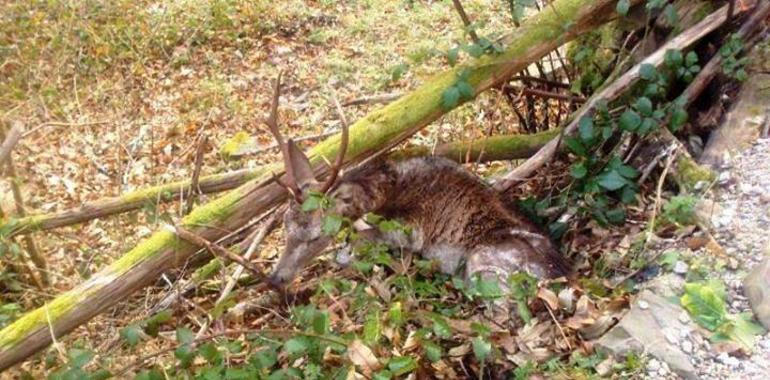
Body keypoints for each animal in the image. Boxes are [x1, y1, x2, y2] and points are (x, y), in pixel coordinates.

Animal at [260, 72, 568, 290]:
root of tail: (564, 277)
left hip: (483, 263)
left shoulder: (410, 229)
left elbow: (362, 240)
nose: (275, 279)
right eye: (285, 228)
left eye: (315, 236)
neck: (388, 191)